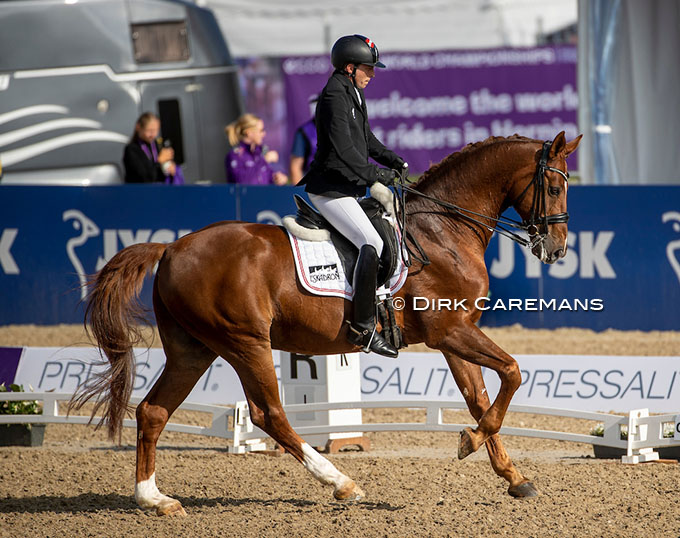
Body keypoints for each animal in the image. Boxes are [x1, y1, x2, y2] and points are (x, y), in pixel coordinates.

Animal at [72, 131, 581, 516]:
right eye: (555, 188)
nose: (556, 250)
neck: (443, 230)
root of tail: (171, 248)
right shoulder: (450, 331)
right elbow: (512, 372)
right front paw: (470, 442)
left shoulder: (453, 337)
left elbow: (479, 399)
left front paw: (512, 475)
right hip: (244, 342)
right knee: (269, 414)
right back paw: (341, 483)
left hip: (193, 349)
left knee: (153, 411)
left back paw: (154, 499)